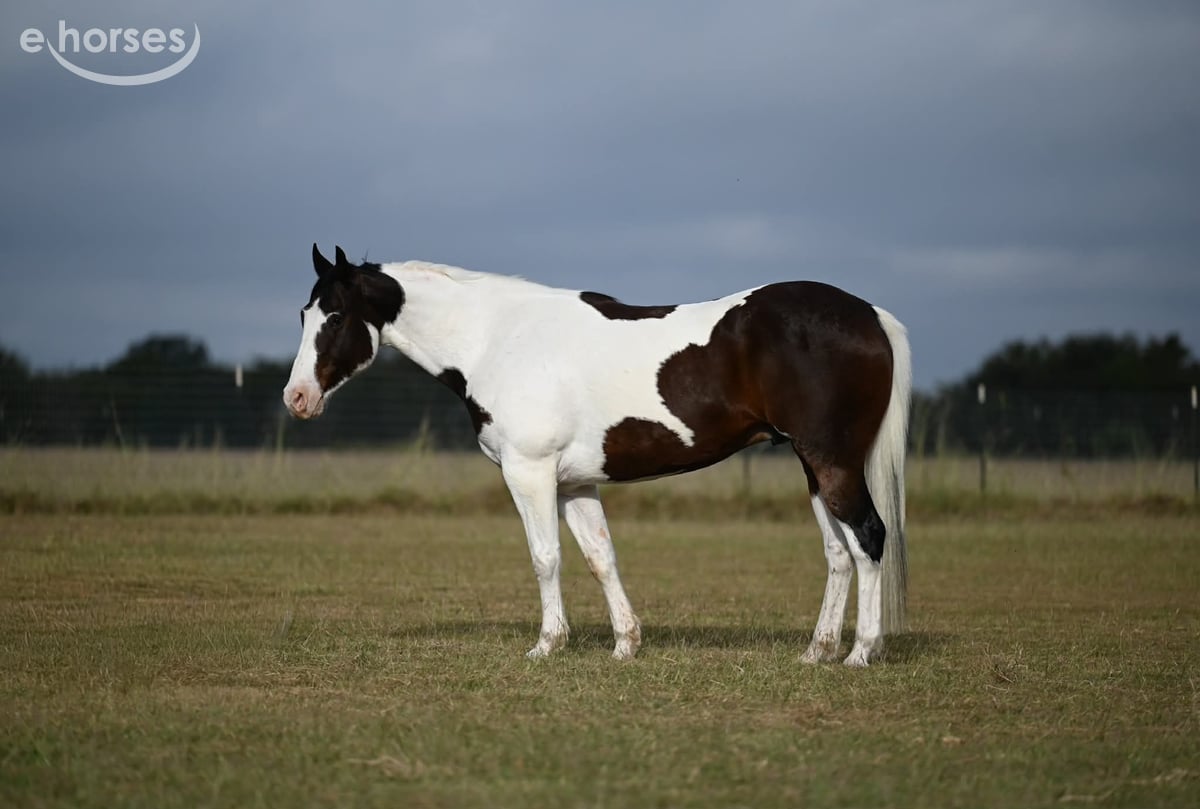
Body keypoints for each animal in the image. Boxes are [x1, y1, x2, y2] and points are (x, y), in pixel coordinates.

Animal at [284, 245, 911, 667]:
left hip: (832, 461)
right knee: (839, 552)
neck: (496, 339)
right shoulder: (575, 484)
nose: (297, 398)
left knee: (869, 538)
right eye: (304, 315)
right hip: (813, 465)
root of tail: (870, 314)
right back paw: (817, 651)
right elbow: (600, 558)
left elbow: (546, 558)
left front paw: (546, 646)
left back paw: (861, 653)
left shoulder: (530, 474)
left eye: (334, 316)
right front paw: (626, 645)